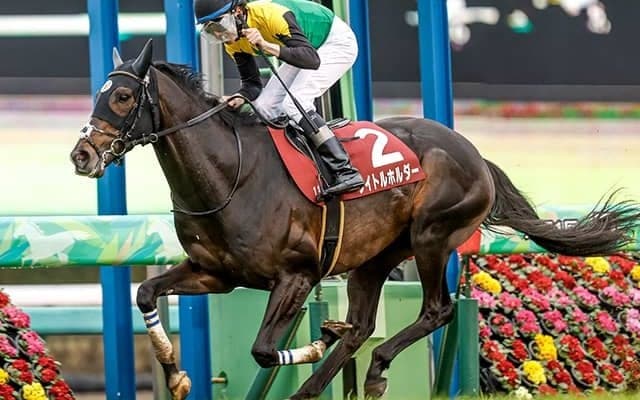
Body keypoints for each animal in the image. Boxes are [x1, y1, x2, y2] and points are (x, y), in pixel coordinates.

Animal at [69, 40, 639, 399]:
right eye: (99, 93)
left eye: (123, 95)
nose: (82, 155)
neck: (231, 173)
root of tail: (475, 155)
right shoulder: (216, 274)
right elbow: (147, 293)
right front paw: (176, 376)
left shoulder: (297, 274)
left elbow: (262, 351)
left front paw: (313, 339)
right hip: (375, 257)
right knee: (363, 324)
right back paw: (323, 379)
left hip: (432, 236)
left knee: (436, 310)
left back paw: (375, 369)